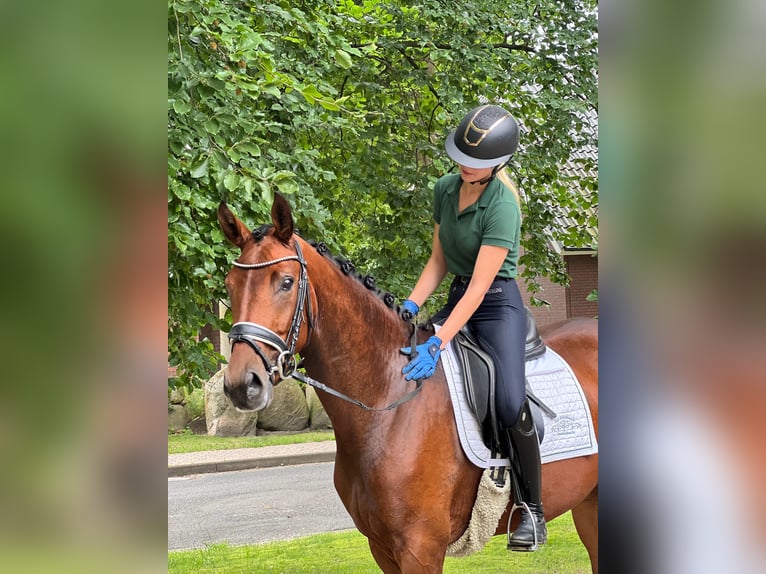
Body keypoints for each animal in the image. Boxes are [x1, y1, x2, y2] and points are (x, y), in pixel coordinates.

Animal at [216, 196, 600, 572]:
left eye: (285, 282)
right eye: (230, 285)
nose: (242, 384)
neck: (388, 402)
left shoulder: (420, 547)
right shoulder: (381, 547)